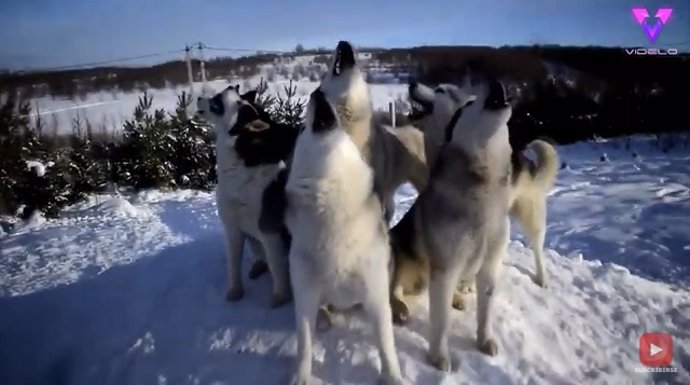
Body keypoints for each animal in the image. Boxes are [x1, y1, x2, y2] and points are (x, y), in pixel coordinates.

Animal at [196, 85, 298, 308]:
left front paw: (280, 297)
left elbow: (277, 269)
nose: (198, 98)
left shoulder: (269, 230)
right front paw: (235, 291)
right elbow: (233, 265)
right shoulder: (232, 228)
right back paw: (258, 267)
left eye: (216, 101)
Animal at [274, 88, 404, 384]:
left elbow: (386, 344)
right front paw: (301, 377)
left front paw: (393, 377)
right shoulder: (306, 294)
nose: (318, 92)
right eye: (302, 129)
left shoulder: (375, 293)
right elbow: (304, 343)